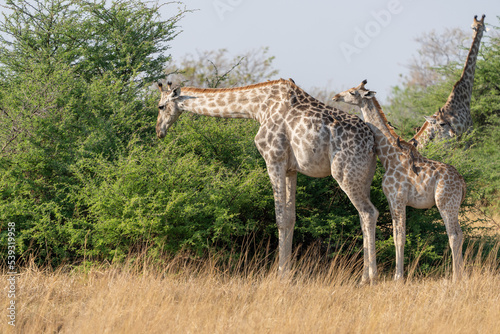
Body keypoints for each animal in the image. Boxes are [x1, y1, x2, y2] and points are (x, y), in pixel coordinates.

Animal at [156, 79, 378, 284]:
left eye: (160, 106)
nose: (159, 130)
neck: (258, 107)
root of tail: (372, 143)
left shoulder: (274, 159)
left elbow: (280, 219)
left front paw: (280, 275)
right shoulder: (291, 169)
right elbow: (291, 218)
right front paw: (288, 273)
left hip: (345, 173)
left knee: (369, 212)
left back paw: (370, 278)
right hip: (364, 177)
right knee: (363, 215)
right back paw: (364, 276)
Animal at [334, 81, 466, 282]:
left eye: (352, 92)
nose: (336, 96)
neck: (389, 157)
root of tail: (462, 182)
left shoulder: (398, 198)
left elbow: (399, 237)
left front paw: (398, 277)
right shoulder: (391, 200)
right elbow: (397, 235)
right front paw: (398, 275)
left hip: (445, 203)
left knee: (454, 235)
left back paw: (455, 278)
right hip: (454, 205)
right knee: (460, 234)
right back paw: (460, 275)